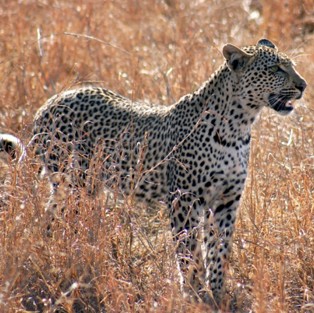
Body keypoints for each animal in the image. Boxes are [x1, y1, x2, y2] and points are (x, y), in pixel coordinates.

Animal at [0, 38, 306, 304]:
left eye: (290, 66)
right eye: (276, 69)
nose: (303, 85)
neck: (239, 125)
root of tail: (48, 103)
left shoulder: (226, 201)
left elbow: (219, 250)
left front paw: (217, 293)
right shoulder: (184, 200)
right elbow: (189, 252)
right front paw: (195, 295)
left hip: (82, 187)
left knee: (51, 218)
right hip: (73, 183)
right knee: (62, 220)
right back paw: (65, 255)